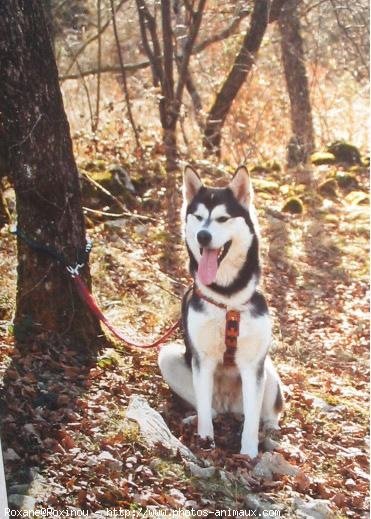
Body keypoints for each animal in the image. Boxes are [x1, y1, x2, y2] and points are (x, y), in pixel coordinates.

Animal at [158, 167, 284, 460]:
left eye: (223, 218)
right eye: (198, 217)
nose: (203, 236)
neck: (228, 299)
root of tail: (229, 407)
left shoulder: (252, 364)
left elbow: (252, 418)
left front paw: (248, 451)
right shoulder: (202, 360)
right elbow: (205, 406)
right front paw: (205, 439)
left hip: (269, 371)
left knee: (266, 413)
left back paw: (270, 428)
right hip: (167, 357)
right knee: (212, 409)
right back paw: (197, 419)